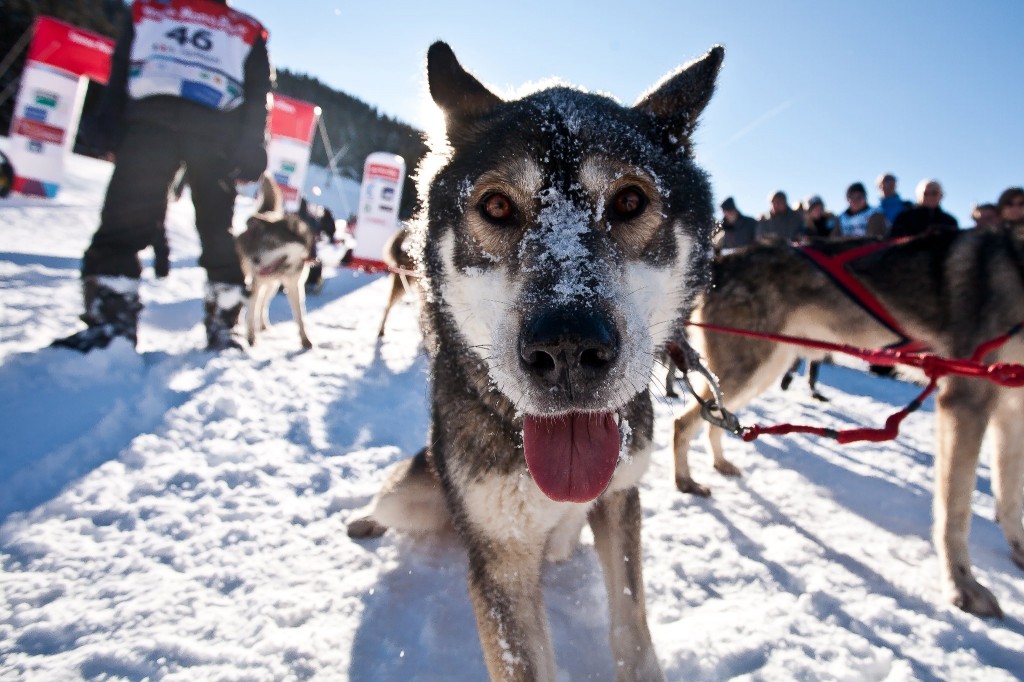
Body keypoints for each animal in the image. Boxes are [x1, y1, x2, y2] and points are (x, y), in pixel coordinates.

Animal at [235, 173, 315, 348]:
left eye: (274, 243)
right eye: (262, 242)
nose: (255, 260)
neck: (284, 269)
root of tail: (267, 212)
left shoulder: (295, 286)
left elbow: (300, 316)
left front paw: (305, 339)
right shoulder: (257, 281)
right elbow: (251, 310)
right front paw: (250, 337)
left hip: (272, 286)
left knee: (263, 303)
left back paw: (264, 325)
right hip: (251, 278)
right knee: (249, 302)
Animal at [352, 43, 729, 679]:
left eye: (631, 200)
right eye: (497, 205)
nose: (568, 348)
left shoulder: (621, 501)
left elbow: (632, 627)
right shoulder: (500, 560)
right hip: (416, 494)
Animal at [671, 233, 1024, 614]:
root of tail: (723, 260)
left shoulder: (1012, 415)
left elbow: (1009, 496)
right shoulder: (964, 404)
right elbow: (955, 512)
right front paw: (962, 585)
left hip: (763, 369)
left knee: (714, 417)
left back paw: (720, 463)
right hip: (750, 367)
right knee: (683, 422)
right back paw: (685, 481)